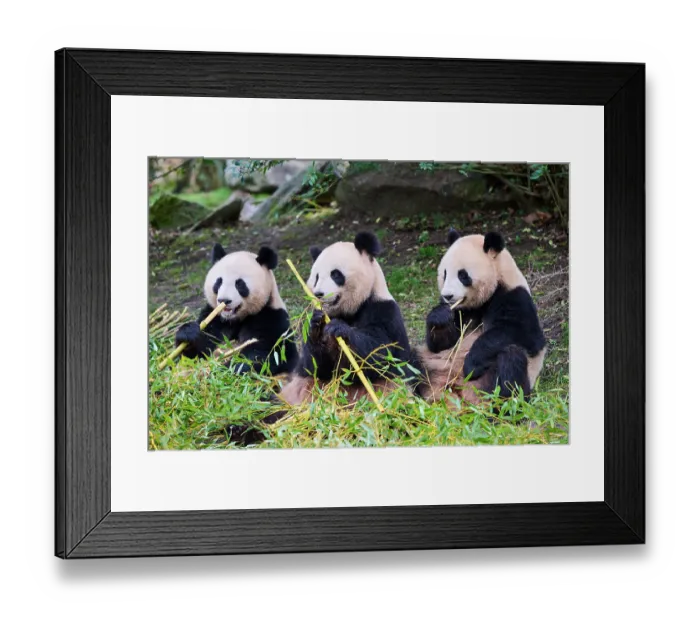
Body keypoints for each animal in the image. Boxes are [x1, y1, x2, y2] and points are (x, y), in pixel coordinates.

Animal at [173, 243, 298, 375]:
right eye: (218, 282)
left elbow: (269, 353)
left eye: (239, 284)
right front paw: (188, 333)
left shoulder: (271, 317)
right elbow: (196, 354)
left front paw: (226, 369)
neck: (235, 319)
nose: (224, 300)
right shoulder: (214, 317)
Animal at [418, 229, 546, 404]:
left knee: (511, 359)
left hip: (491, 383)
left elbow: (524, 335)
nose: (447, 296)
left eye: (462, 275)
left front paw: (471, 365)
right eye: (444, 274)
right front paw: (440, 315)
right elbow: (442, 344)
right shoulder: (462, 311)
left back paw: (501, 406)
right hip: (434, 366)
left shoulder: (514, 296)